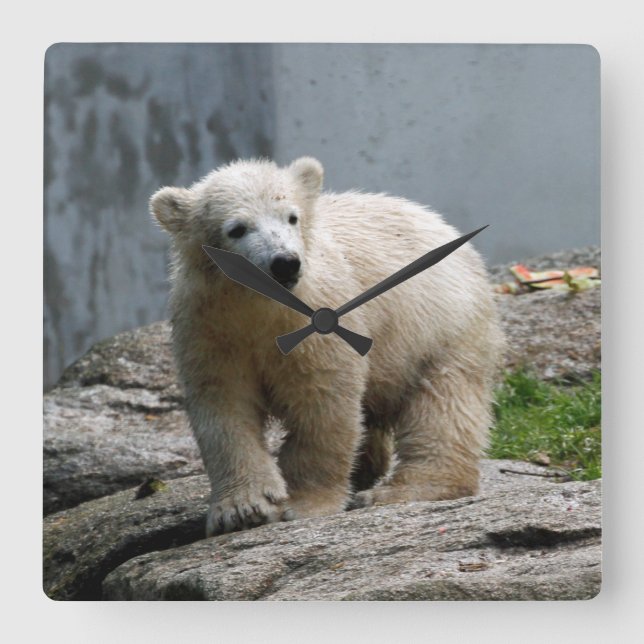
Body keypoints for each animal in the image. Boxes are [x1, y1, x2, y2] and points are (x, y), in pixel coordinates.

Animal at [151, 157, 505, 537]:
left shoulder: (321, 321)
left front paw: (303, 503)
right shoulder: (210, 330)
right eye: (237, 229)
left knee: (443, 403)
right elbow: (224, 408)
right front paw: (242, 509)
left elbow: (321, 402)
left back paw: (402, 489)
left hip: (440, 325)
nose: (285, 262)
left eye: (291, 217)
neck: (261, 306)